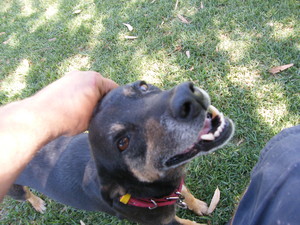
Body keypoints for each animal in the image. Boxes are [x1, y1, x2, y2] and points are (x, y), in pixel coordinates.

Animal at [7, 81, 234, 225]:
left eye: (143, 86)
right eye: (123, 142)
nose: (189, 96)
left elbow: (184, 190)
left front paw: (196, 204)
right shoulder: (165, 223)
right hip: (14, 189)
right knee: (25, 195)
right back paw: (37, 203)